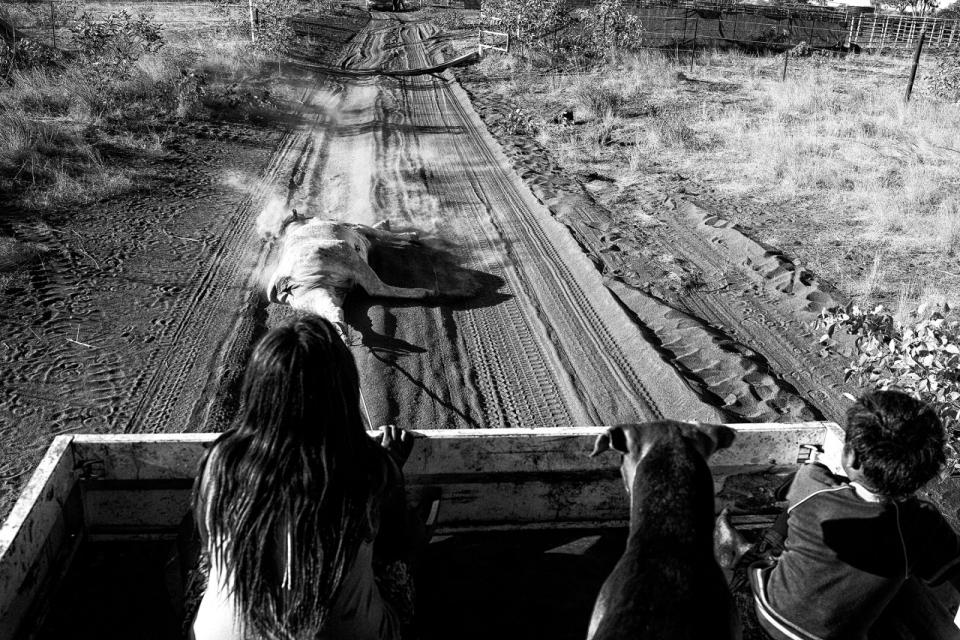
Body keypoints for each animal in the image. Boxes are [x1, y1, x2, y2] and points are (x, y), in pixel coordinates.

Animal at [256, 210, 434, 336]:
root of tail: (280, 279)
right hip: (346, 253)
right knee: (377, 288)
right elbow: (381, 233)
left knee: (332, 310)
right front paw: (410, 234)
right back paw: (423, 292)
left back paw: (342, 331)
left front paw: (385, 224)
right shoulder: (358, 227)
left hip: (311, 295)